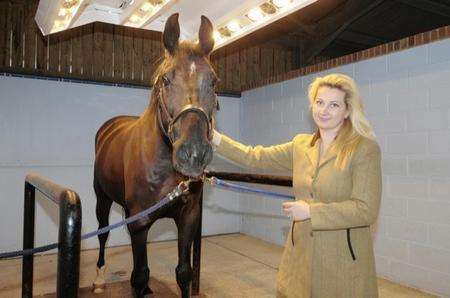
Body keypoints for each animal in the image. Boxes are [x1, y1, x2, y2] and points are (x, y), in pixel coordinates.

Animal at [92, 14, 218, 298]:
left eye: (213, 81)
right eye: (166, 80)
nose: (193, 154)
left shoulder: (188, 218)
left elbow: (183, 273)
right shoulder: (139, 222)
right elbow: (139, 274)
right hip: (102, 198)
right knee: (102, 234)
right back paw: (99, 278)